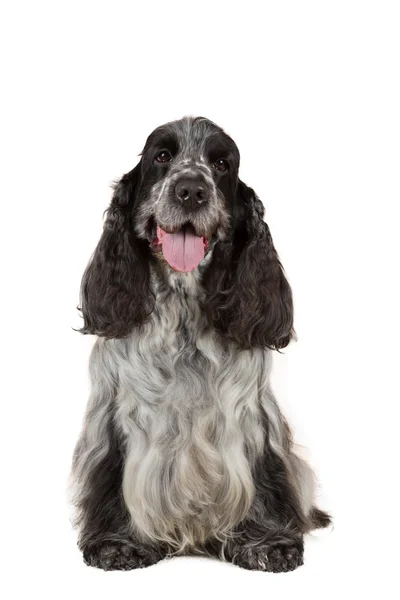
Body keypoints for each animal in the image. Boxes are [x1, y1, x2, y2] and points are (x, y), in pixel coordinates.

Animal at [70, 115, 330, 568]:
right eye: (161, 156)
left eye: (222, 163)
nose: (191, 189)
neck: (183, 313)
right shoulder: (115, 421)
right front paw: (120, 543)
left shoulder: (251, 420)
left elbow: (262, 482)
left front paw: (268, 543)